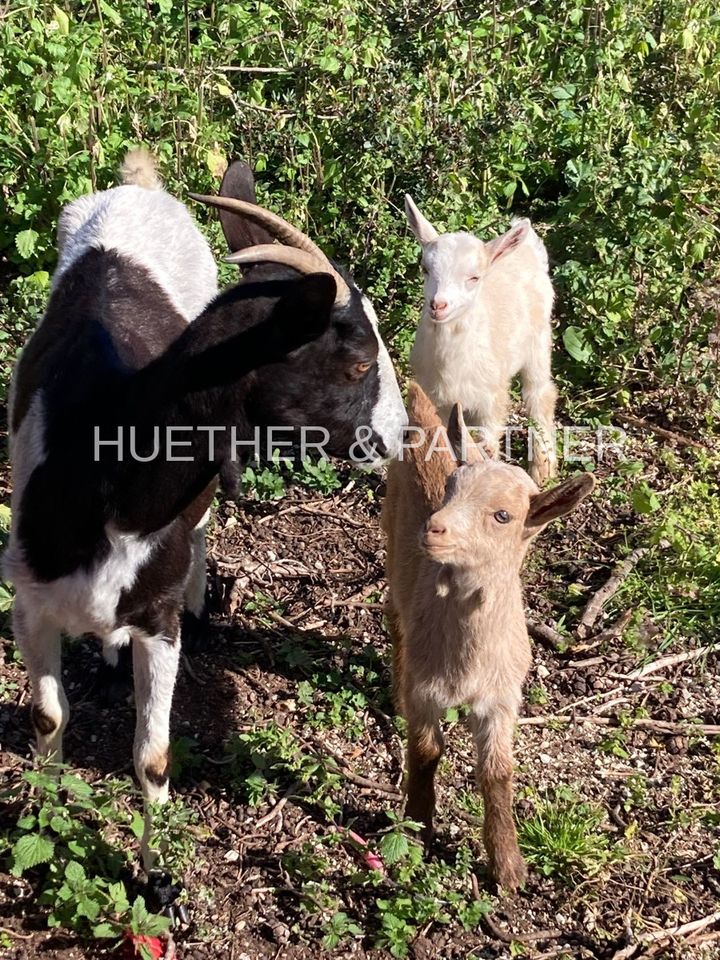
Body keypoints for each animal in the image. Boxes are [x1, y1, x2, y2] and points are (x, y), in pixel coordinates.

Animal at [4, 152, 404, 876]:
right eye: (359, 363)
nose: (402, 433)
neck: (110, 486)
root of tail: (140, 186)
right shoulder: (29, 598)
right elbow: (48, 719)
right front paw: (44, 828)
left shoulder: (157, 621)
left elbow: (153, 755)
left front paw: (155, 873)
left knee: (204, 528)